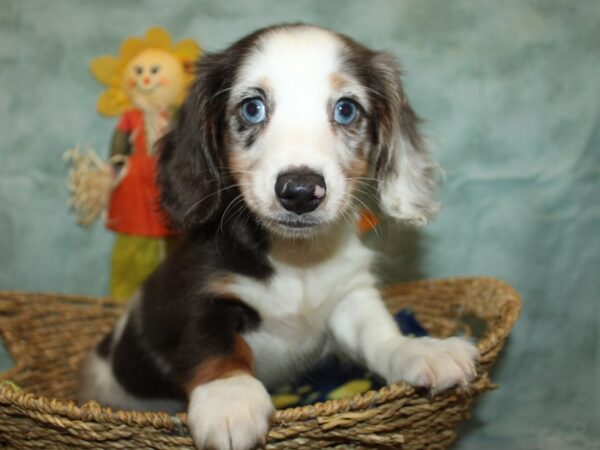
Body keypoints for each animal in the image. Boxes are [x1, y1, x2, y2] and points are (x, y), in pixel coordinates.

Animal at [79, 23, 480, 450]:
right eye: (252, 108)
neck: (296, 260)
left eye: (346, 109)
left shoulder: (349, 295)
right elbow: (212, 343)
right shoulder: (199, 291)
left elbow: (378, 332)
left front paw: (416, 350)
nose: (301, 191)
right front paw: (229, 398)